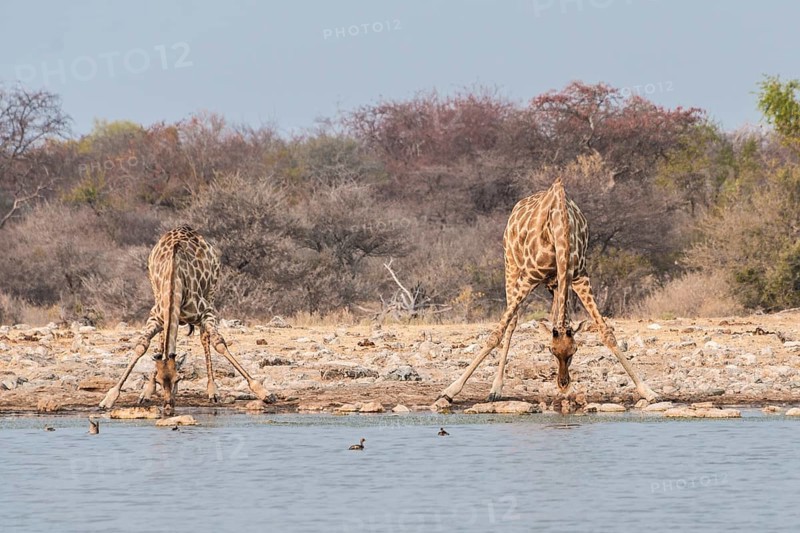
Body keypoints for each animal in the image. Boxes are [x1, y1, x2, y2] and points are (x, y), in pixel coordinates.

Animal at [99, 226, 273, 415]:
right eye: (160, 381)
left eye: (178, 379)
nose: (168, 408)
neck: (174, 282)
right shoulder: (156, 317)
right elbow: (141, 346)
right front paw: (110, 398)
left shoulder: (206, 312)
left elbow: (219, 343)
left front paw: (263, 392)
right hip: (156, 293)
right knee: (163, 340)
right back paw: (147, 392)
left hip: (211, 291)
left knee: (205, 338)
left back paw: (212, 390)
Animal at [434, 177, 657, 408]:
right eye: (551, 350)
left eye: (574, 350)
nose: (563, 383)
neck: (560, 230)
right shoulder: (528, 277)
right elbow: (496, 333)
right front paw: (449, 391)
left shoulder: (579, 277)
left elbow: (607, 333)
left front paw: (648, 391)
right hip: (511, 265)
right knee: (512, 322)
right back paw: (495, 389)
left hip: (555, 283)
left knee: (554, 316)